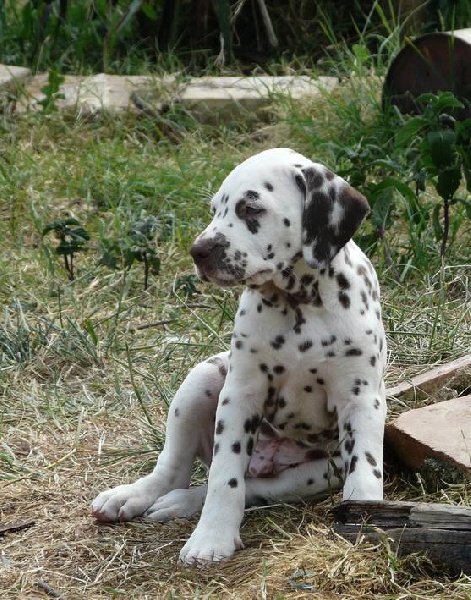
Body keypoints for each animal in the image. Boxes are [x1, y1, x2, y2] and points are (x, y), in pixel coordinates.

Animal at [92, 148, 387, 564]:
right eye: (215, 210)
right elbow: (225, 477)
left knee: (257, 489)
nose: (198, 251)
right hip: (203, 377)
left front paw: (364, 518)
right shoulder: (240, 395)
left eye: (251, 208)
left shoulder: (360, 399)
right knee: (179, 469)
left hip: (317, 474)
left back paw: (182, 502)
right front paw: (211, 538)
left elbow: (365, 467)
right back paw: (132, 496)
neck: (297, 305)